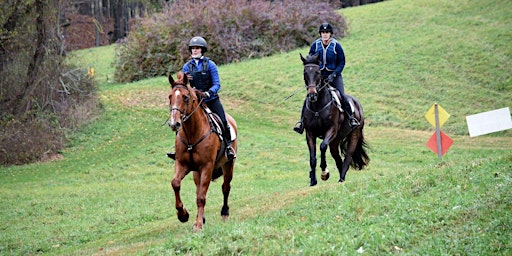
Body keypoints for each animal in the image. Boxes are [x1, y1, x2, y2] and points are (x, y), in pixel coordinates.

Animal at [169, 71, 239, 230]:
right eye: (170, 97)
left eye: (185, 97)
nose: (174, 123)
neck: (192, 134)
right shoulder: (182, 164)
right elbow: (176, 183)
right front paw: (183, 215)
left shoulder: (207, 166)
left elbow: (201, 197)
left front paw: (199, 225)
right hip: (196, 172)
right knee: (198, 188)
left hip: (228, 165)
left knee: (225, 187)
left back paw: (224, 213)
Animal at [300, 53, 368, 186]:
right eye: (305, 73)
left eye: (318, 72)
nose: (312, 95)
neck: (318, 106)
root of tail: (358, 105)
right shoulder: (310, 132)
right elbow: (312, 158)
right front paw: (313, 180)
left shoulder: (331, 130)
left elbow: (322, 146)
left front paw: (324, 172)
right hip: (335, 141)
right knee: (337, 158)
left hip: (354, 134)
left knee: (348, 156)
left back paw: (341, 178)